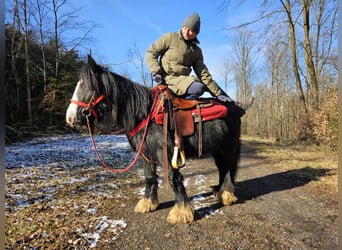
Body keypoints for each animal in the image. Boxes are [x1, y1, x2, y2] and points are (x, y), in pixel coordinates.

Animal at [65, 55, 240, 225]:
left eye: (85, 85)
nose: (70, 118)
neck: (145, 114)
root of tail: (235, 107)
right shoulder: (145, 153)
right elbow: (149, 177)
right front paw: (147, 203)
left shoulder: (165, 153)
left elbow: (173, 178)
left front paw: (181, 212)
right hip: (217, 149)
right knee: (222, 167)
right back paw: (220, 191)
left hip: (229, 146)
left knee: (228, 168)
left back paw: (226, 195)